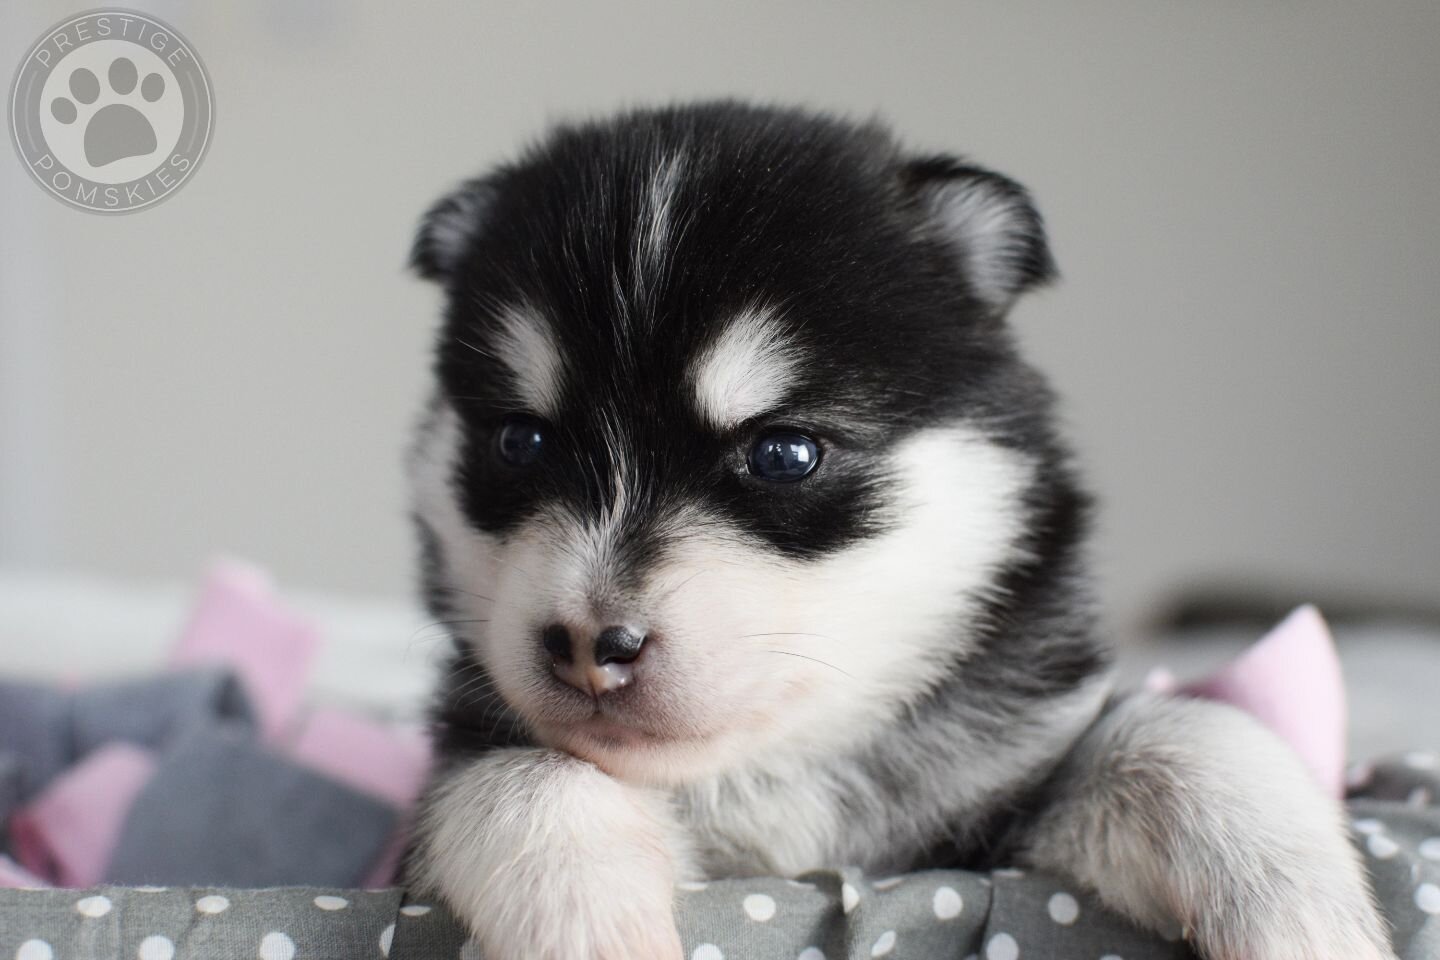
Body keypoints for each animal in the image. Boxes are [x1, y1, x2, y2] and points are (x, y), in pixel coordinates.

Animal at [400, 103, 1388, 960]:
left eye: (785, 453)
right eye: (520, 442)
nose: (585, 645)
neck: (777, 771)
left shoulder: (997, 818)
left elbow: (1179, 730)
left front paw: (1297, 906)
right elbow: (524, 773)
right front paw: (587, 921)